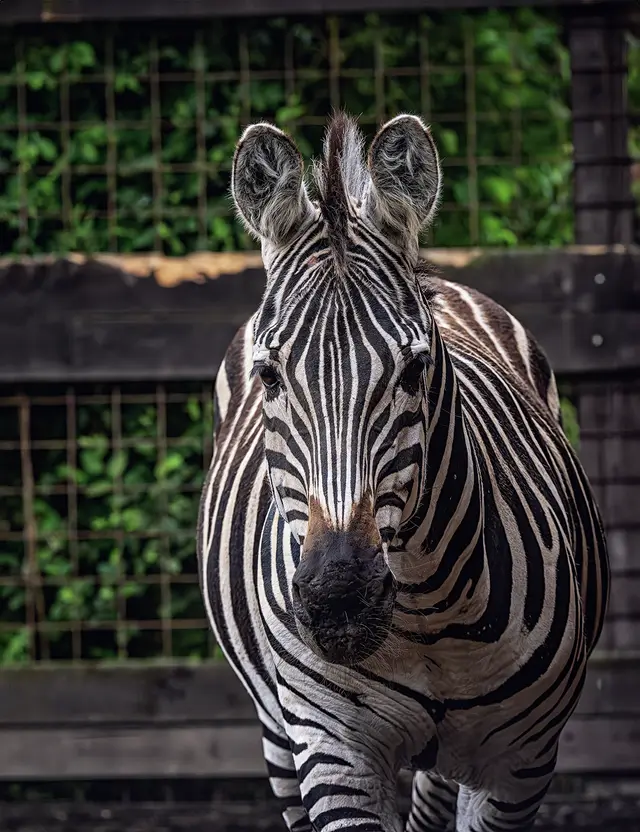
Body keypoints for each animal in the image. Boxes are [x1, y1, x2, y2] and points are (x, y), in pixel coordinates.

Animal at [198, 112, 609, 832]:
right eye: (270, 376)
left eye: (416, 369)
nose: (339, 598)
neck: (427, 617)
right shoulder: (334, 752)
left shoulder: (521, 765)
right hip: (277, 734)